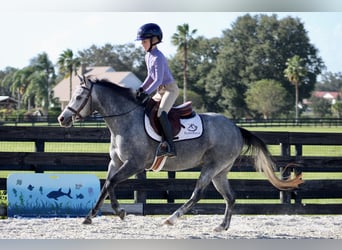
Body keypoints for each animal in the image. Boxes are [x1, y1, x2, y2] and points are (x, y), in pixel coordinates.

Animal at [58, 76, 302, 232]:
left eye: (78, 97)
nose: (62, 119)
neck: (124, 120)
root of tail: (235, 128)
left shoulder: (134, 164)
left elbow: (111, 184)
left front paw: (120, 212)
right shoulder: (116, 162)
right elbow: (106, 185)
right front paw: (90, 216)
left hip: (211, 167)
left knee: (197, 194)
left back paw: (171, 219)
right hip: (220, 172)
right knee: (230, 197)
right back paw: (221, 226)